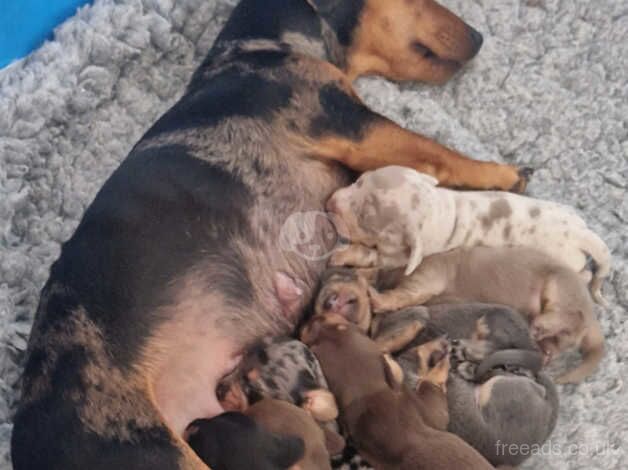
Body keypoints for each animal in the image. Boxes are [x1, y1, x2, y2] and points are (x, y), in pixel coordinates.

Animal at [300, 314, 496, 470]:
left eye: (339, 326)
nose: (311, 319)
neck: (368, 395)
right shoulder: (433, 412)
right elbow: (430, 380)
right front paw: (443, 357)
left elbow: (385, 345)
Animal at [326, 165, 612, 304]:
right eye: (359, 180)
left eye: (365, 219)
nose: (330, 203)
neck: (444, 213)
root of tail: (581, 233)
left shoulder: (400, 256)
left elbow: (371, 255)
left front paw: (343, 255)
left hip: (567, 261)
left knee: (584, 274)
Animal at [368, 244, 604, 384]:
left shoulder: (426, 278)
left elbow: (401, 295)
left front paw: (376, 298)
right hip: (551, 338)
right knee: (550, 346)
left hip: (559, 286)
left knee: (572, 317)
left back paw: (541, 325)